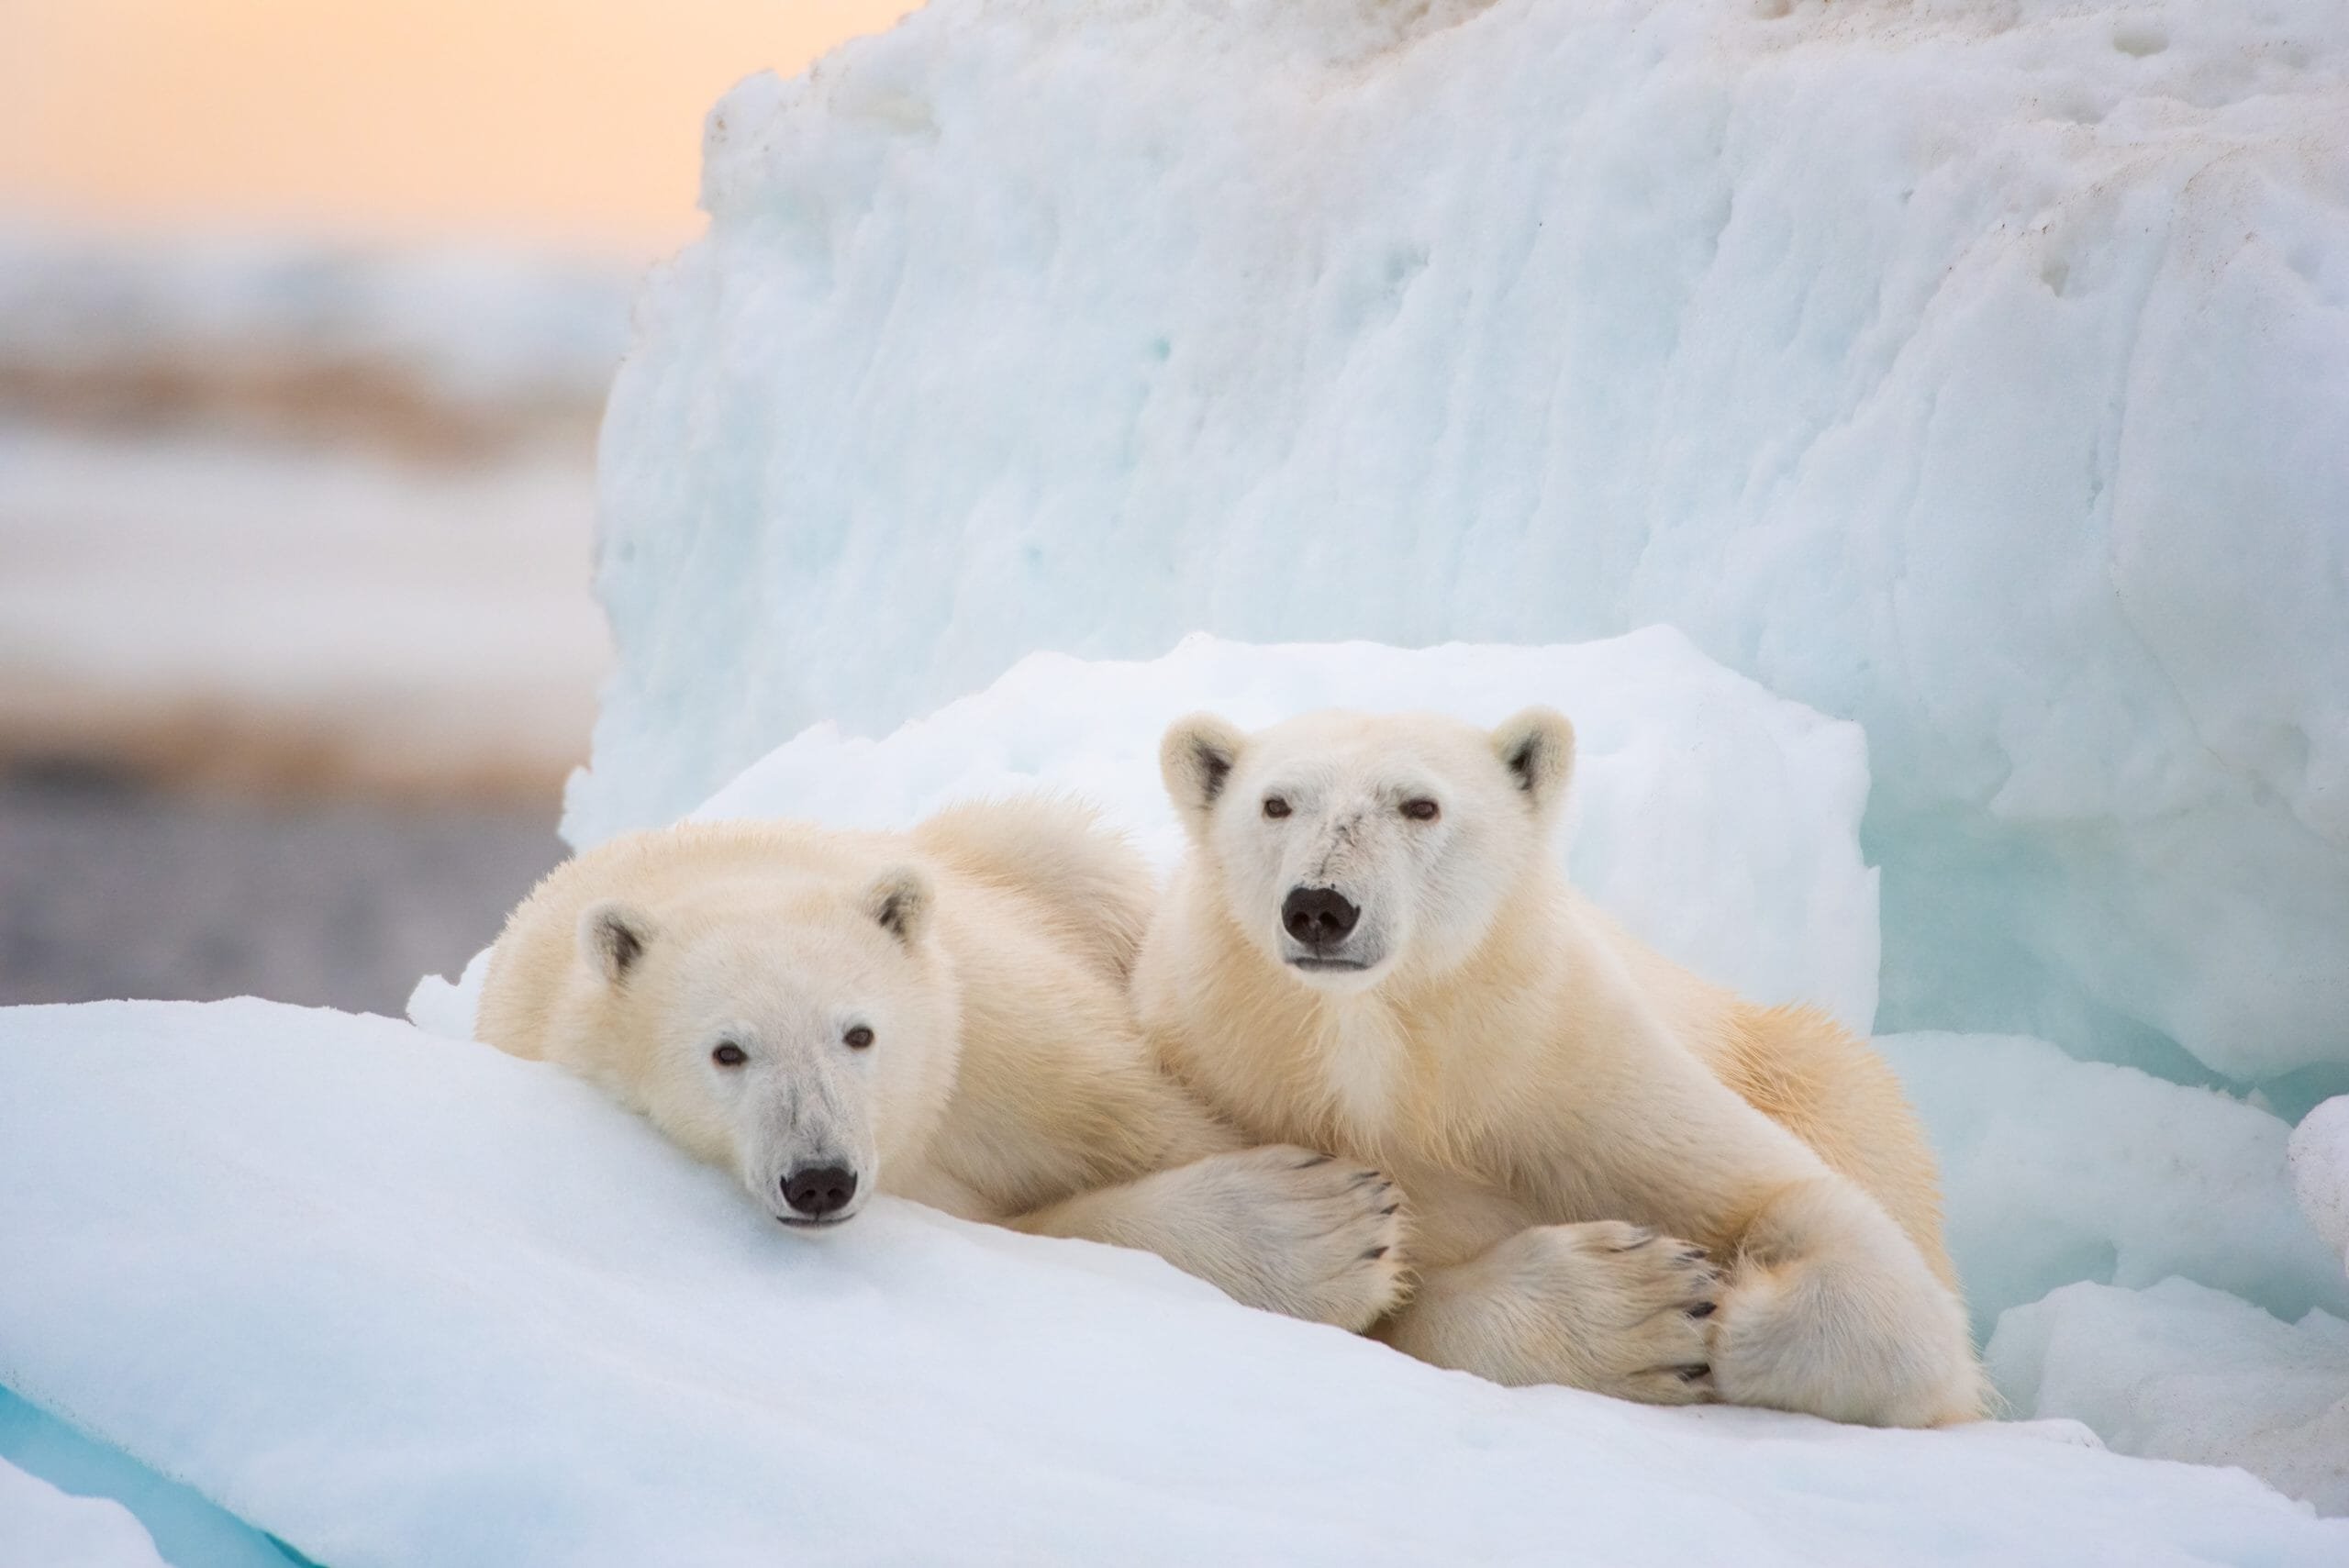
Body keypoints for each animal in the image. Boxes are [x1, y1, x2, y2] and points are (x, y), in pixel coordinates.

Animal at [472, 802, 1390, 1333]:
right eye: (727, 1051)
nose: (819, 1177)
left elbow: (1153, 1118)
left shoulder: (994, 1031)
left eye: (859, 1033)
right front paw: (1329, 1228)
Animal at [1137, 708, 1982, 1436]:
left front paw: (1730, 1302)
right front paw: (1646, 1306)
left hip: (1800, 1065)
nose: (1320, 906)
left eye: (1420, 805)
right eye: (1276, 803)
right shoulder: (1239, 1073)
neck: (1390, 1056)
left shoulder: (1568, 1064)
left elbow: (1795, 1201)